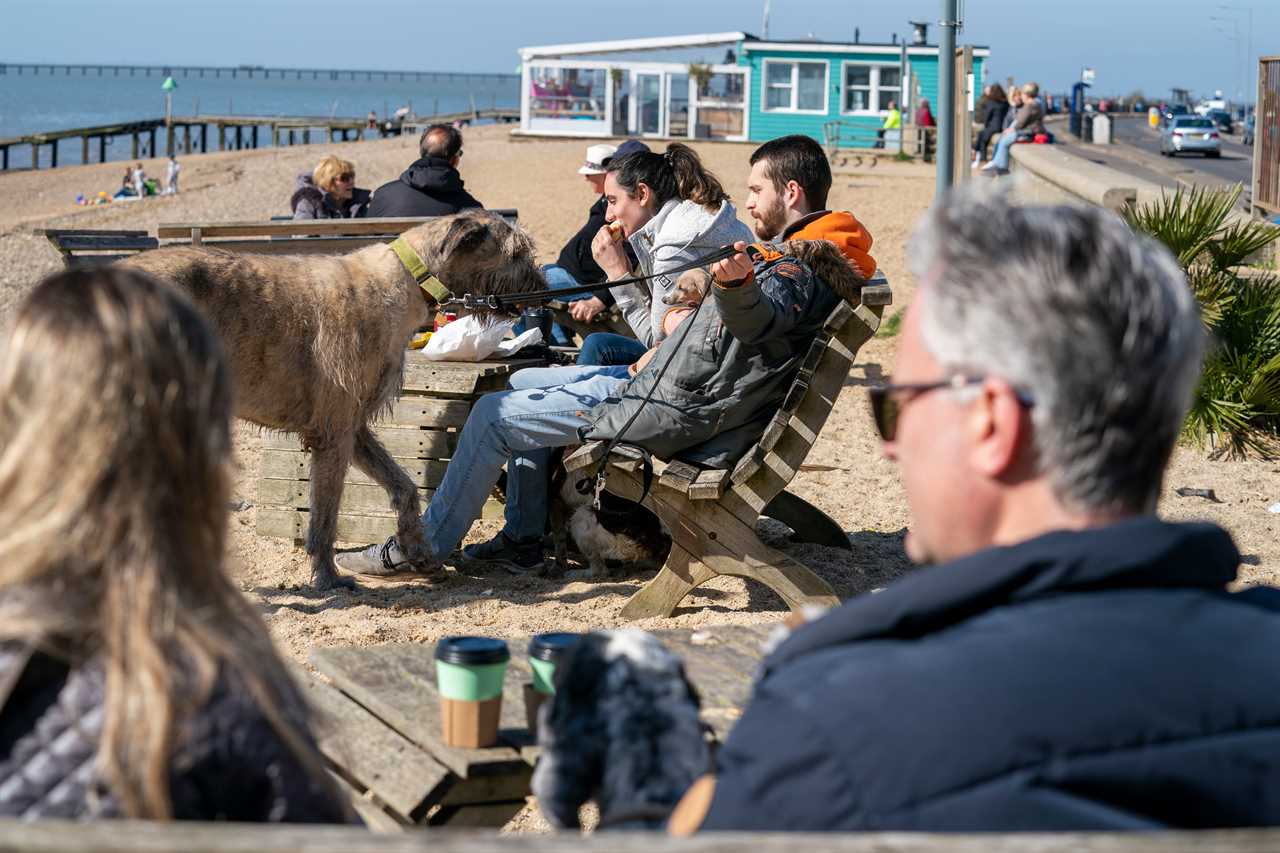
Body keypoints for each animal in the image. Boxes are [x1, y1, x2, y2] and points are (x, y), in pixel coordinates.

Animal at [128, 208, 545, 589]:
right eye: (517, 252)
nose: (542, 285)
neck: (405, 278)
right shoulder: (335, 430)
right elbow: (325, 516)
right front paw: (327, 576)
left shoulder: (354, 427)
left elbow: (405, 487)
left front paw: (417, 552)